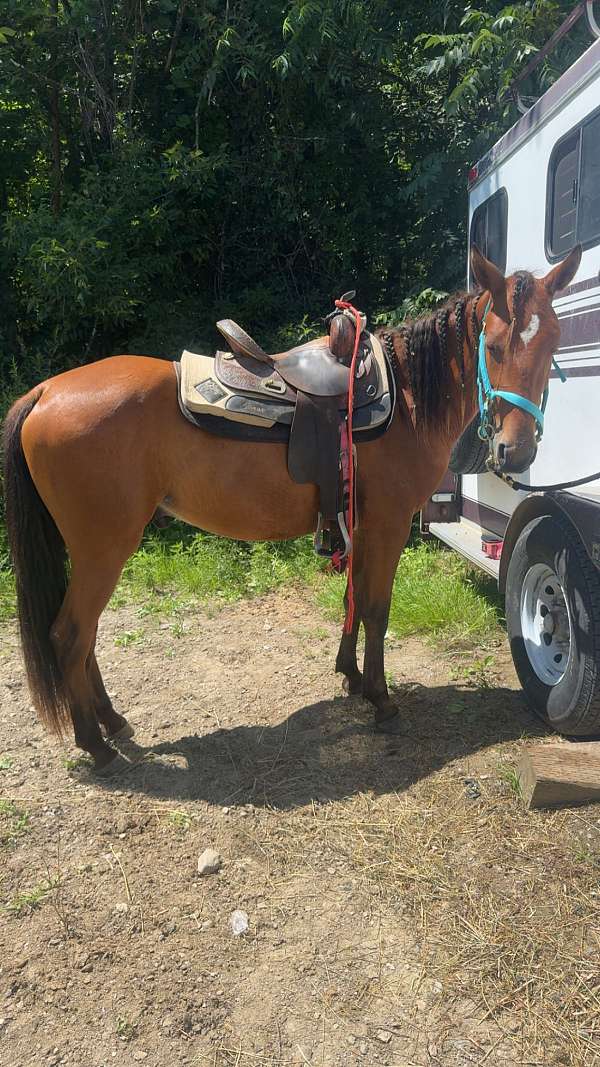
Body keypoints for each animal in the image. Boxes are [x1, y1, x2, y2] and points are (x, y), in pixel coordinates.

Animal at [2, 244, 581, 775]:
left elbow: (354, 598)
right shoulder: (389, 524)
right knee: (70, 635)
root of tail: (45, 391)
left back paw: (112, 722)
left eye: (554, 342)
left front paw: (350, 676)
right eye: (494, 345)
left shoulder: (360, 524)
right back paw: (94, 744)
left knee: (86, 637)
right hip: (104, 548)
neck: (408, 400)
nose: (515, 452)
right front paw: (381, 699)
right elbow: (377, 607)